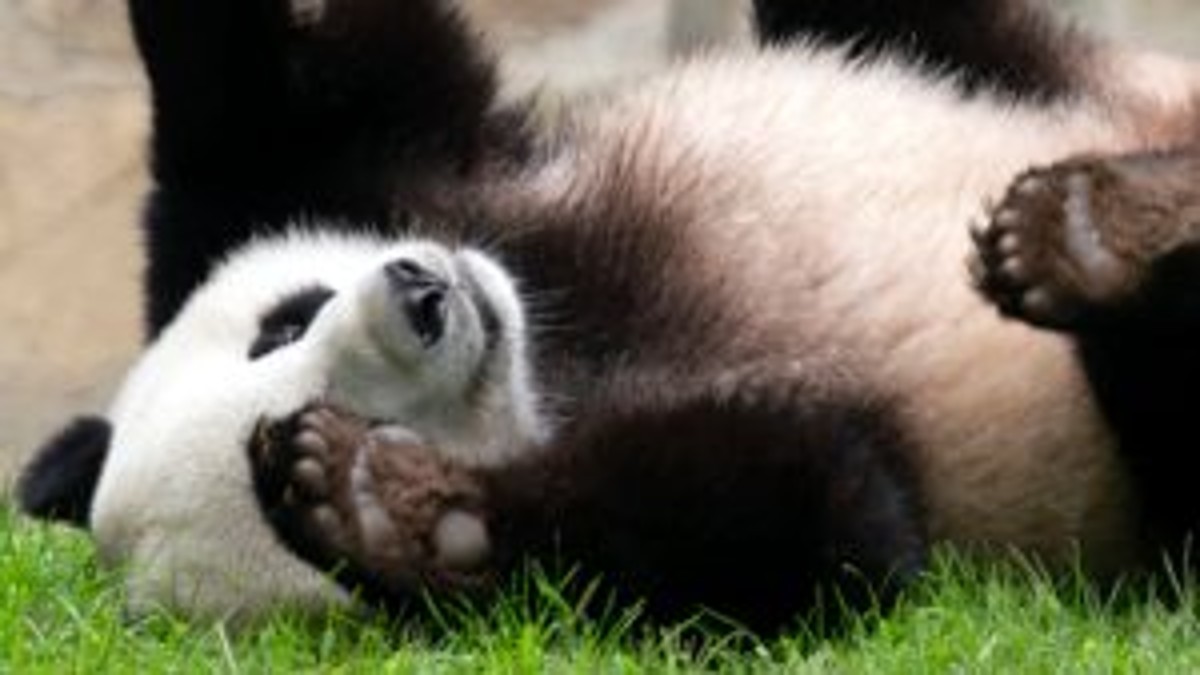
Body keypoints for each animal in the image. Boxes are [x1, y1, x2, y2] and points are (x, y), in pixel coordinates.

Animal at [17, 0, 1200, 630]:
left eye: (283, 321)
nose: (425, 302)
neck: (563, 348)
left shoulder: (386, 171)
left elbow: (292, 75)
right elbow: (817, 530)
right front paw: (386, 507)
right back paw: (1099, 244)